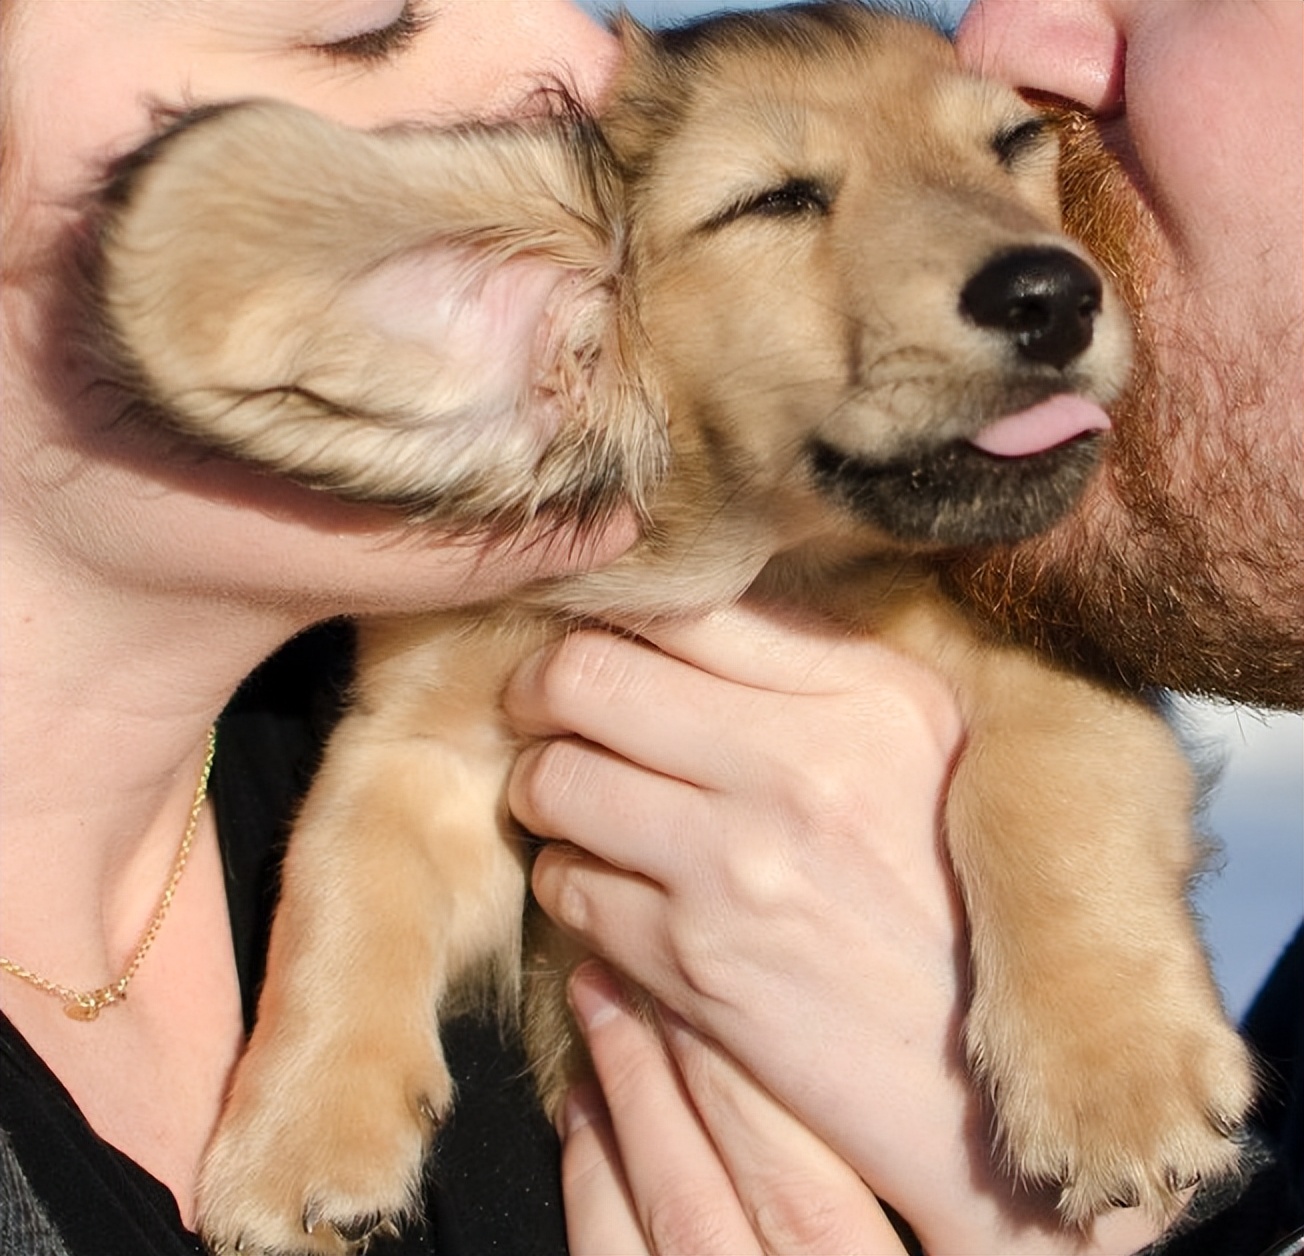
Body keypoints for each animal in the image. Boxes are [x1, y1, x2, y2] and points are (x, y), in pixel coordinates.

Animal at [91, 4, 1251, 1252]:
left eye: (1012, 144)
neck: (749, 564)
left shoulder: (1062, 672)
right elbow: (337, 885)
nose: (1050, 293)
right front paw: (295, 1138)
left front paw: (1113, 1080)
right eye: (774, 200)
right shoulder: (416, 744)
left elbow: (1042, 791)